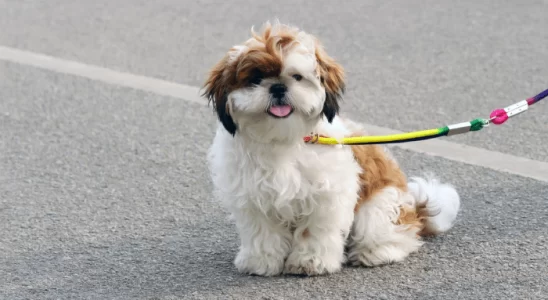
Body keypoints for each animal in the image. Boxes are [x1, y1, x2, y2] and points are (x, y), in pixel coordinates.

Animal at [203, 21, 460, 276]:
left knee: (393, 233)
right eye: (255, 79)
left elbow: (314, 230)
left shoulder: (326, 196)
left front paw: (310, 261)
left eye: (297, 77)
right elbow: (263, 232)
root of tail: (414, 210)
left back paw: (377, 251)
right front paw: (261, 261)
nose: (277, 87)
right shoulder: (253, 197)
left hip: (380, 205)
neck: (284, 138)